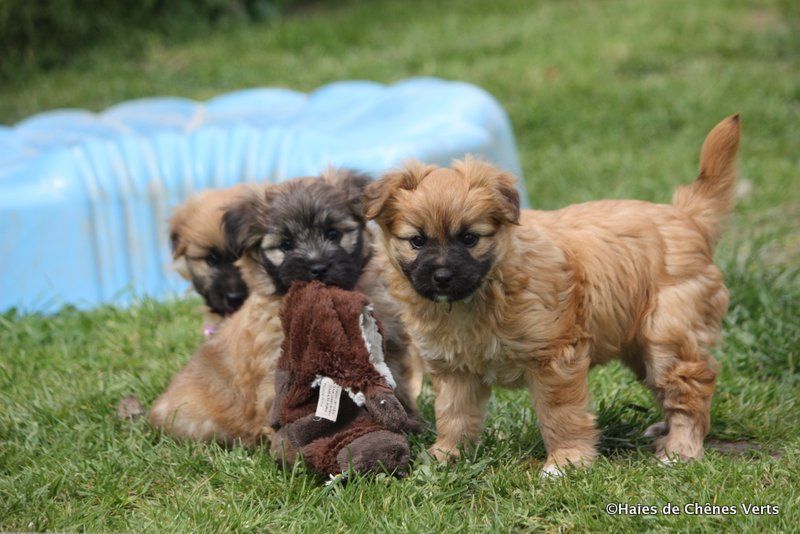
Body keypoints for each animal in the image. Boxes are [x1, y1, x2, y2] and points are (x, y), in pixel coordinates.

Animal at [152, 171, 424, 448]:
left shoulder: (387, 346)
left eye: (333, 234)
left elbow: (395, 384)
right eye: (285, 245)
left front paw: (410, 423)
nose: (318, 267)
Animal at [366, 115, 740, 476]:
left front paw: (566, 462)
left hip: (669, 338)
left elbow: (560, 415)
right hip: (641, 345)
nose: (442, 278)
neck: (487, 288)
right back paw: (664, 433)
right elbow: (454, 415)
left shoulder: (555, 358)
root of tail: (686, 216)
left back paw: (680, 450)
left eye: (470, 238)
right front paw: (446, 456)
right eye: (417, 241)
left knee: (690, 393)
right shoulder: (454, 368)